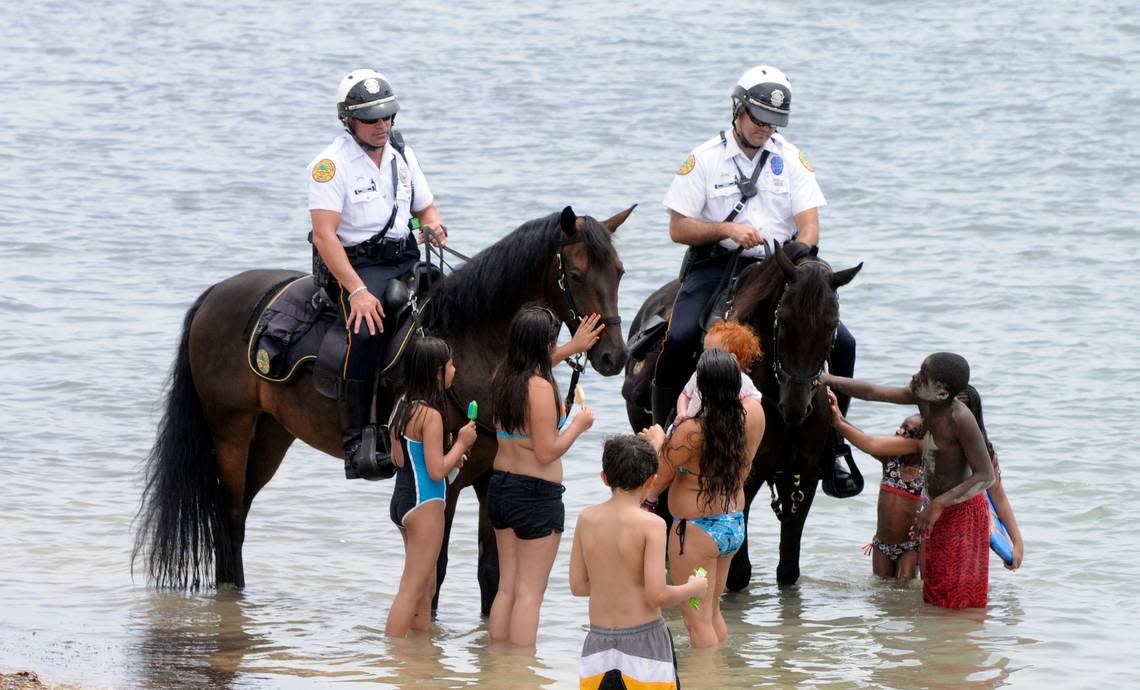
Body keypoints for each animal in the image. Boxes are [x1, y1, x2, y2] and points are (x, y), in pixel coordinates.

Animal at [135, 201, 633, 606]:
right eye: (577, 275)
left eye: (620, 272)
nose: (614, 356)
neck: (474, 343)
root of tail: (215, 293)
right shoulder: (444, 478)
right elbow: (435, 570)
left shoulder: (491, 475)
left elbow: (490, 575)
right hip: (230, 430)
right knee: (229, 517)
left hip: (270, 435)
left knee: (236, 522)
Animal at [624, 240, 861, 588]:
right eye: (782, 318)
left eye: (831, 325)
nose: (795, 407)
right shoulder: (743, 478)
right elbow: (738, 572)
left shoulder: (803, 476)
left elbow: (788, 570)